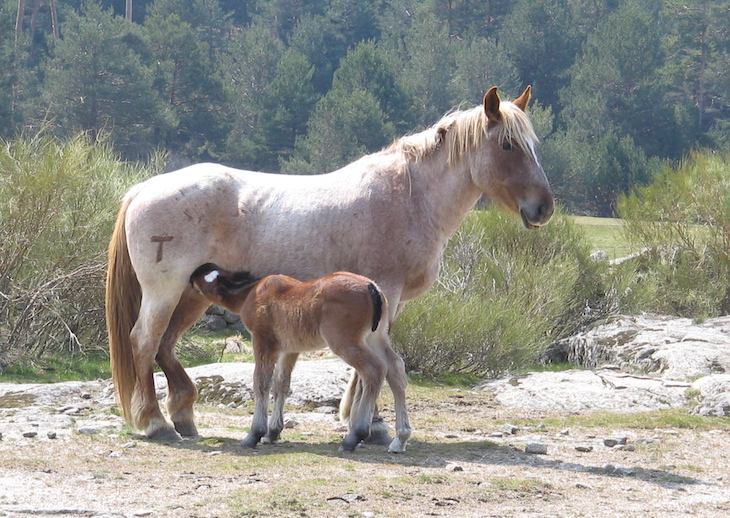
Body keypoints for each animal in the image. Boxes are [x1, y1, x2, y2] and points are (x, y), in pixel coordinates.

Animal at [189, 264, 411, 452]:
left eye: (209, 279)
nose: (195, 272)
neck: (251, 293)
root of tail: (370, 287)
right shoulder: (289, 350)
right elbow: (281, 385)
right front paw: (273, 432)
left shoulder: (263, 343)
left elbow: (261, 383)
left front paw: (255, 434)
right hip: (375, 338)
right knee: (395, 369)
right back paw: (400, 438)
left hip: (344, 342)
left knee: (374, 370)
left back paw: (355, 436)